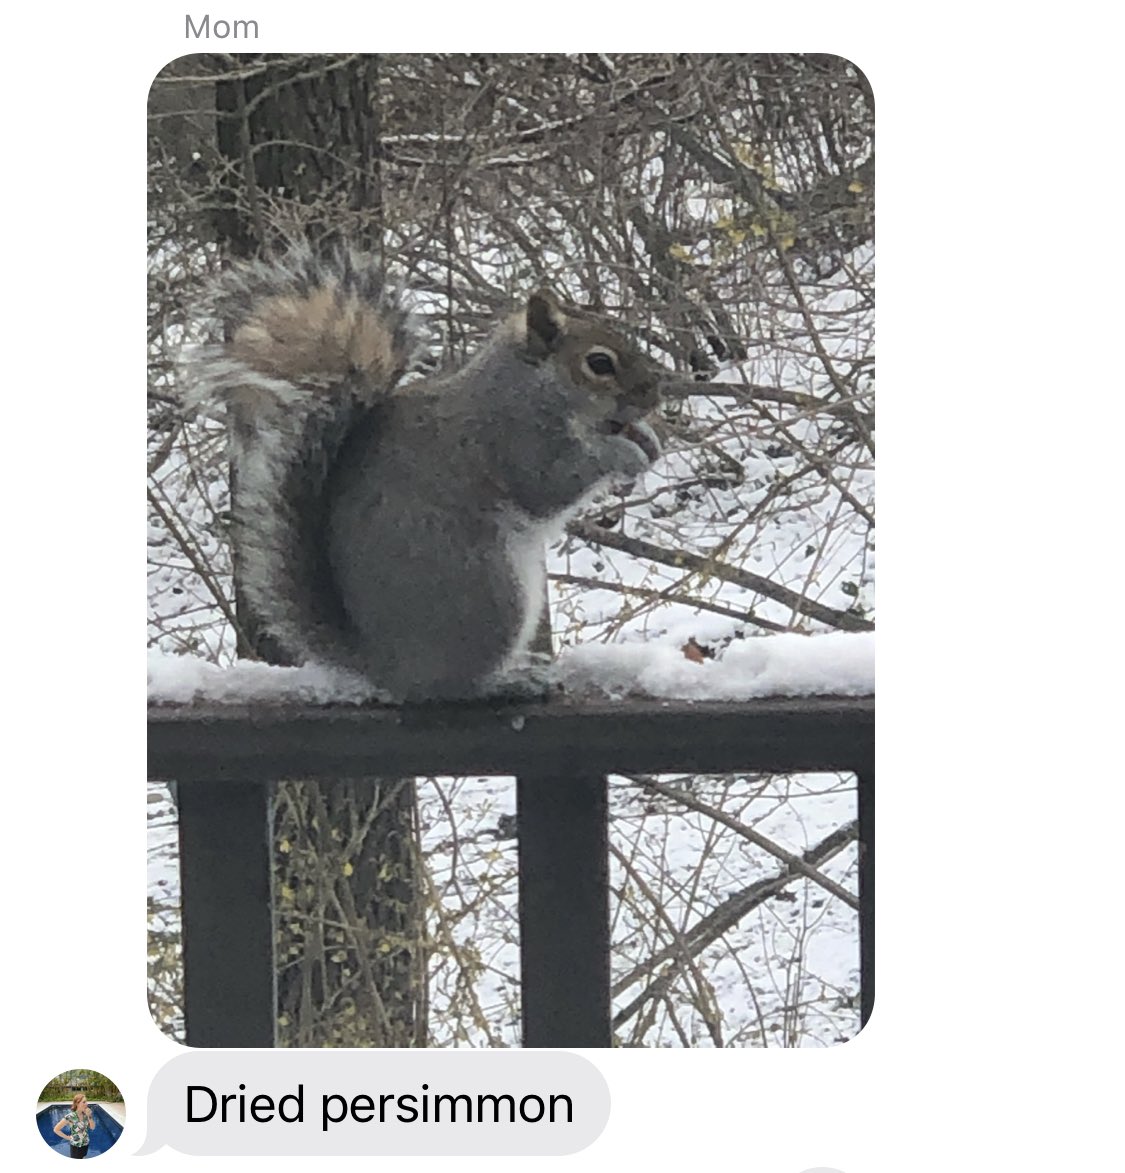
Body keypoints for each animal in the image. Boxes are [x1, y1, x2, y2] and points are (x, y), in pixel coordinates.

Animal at [187, 245, 675, 702]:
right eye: (599, 363)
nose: (655, 394)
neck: (532, 389)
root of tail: (388, 668)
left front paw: (647, 439)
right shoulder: (511, 442)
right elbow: (550, 482)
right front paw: (622, 454)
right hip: (489, 593)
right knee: (453, 687)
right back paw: (507, 682)